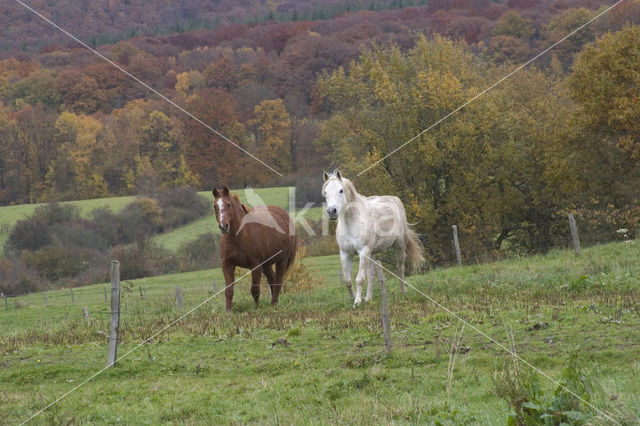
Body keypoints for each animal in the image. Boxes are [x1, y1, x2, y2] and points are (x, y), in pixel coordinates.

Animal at [320, 168, 424, 304]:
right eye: (325, 192)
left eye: (341, 190)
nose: (332, 211)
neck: (352, 221)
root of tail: (395, 200)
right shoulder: (345, 253)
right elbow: (347, 280)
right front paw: (354, 298)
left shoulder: (363, 251)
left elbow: (359, 278)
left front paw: (357, 302)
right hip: (372, 253)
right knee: (371, 274)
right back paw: (369, 298)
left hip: (400, 246)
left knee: (400, 268)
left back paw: (403, 293)